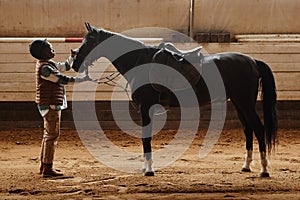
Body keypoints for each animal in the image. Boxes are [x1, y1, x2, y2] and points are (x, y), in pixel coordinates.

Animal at [72, 23, 276, 177]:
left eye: (88, 42)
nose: (75, 63)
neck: (139, 62)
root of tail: (253, 61)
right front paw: (146, 167)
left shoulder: (146, 107)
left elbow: (146, 137)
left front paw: (149, 170)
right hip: (239, 103)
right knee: (248, 130)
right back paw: (246, 166)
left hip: (245, 103)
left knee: (258, 129)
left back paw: (264, 169)